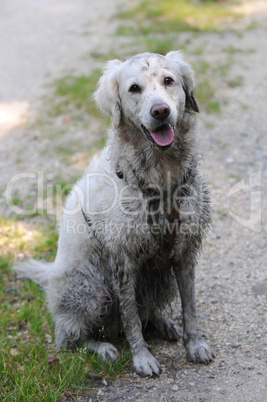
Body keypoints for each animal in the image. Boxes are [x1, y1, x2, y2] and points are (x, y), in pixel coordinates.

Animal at [15, 51, 216, 376]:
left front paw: (195, 344)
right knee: (69, 339)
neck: (161, 179)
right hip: (91, 291)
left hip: (161, 280)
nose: (161, 111)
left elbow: (190, 308)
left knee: (148, 312)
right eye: (134, 88)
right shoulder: (124, 262)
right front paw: (142, 357)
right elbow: (131, 318)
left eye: (169, 81)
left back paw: (163, 324)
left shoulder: (185, 255)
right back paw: (102, 347)